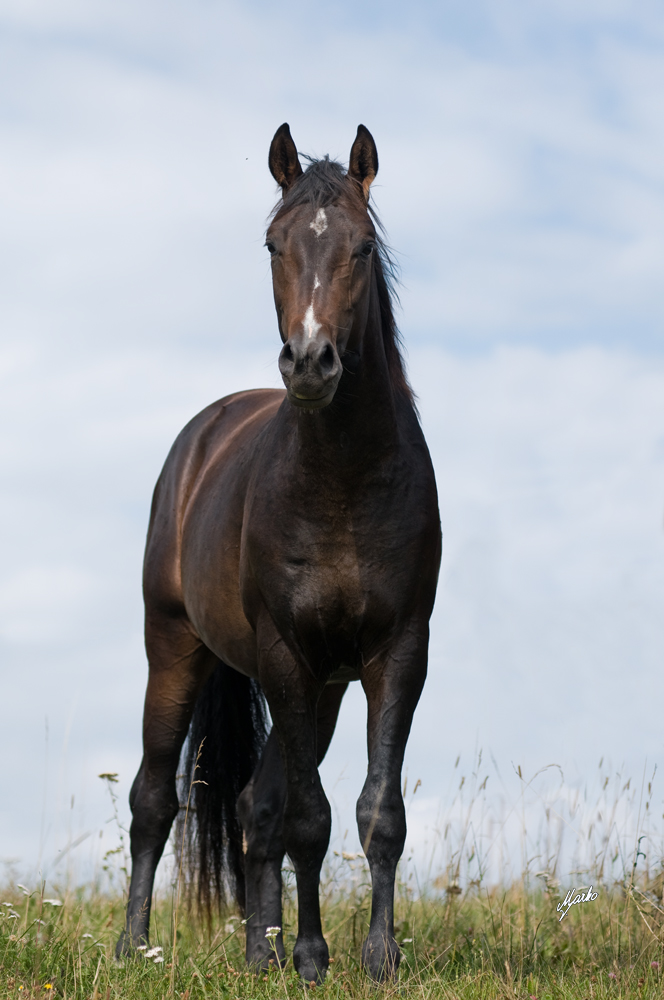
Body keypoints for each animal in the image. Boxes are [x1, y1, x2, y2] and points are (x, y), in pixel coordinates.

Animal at [115, 121, 440, 980]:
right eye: (273, 244)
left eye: (363, 246)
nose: (311, 363)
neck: (343, 482)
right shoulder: (287, 653)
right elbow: (309, 820)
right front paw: (315, 956)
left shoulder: (397, 652)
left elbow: (375, 811)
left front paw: (378, 958)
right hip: (177, 647)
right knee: (153, 799)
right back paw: (132, 947)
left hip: (319, 688)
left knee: (250, 806)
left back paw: (257, 953)